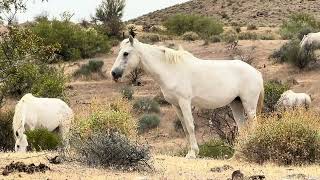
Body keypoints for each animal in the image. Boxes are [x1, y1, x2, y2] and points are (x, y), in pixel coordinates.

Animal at [111, 36, 264, 158]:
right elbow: (185, 128)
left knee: (254, 125)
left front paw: (193, 153)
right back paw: (238, 153)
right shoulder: (176, 105)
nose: (114, 73)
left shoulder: (184, 102)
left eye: (125, 53)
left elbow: (190, 126)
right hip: (236, 103)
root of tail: (256, 72)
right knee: (242, 127)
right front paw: (190, 152)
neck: (171, 70)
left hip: (249, 105)